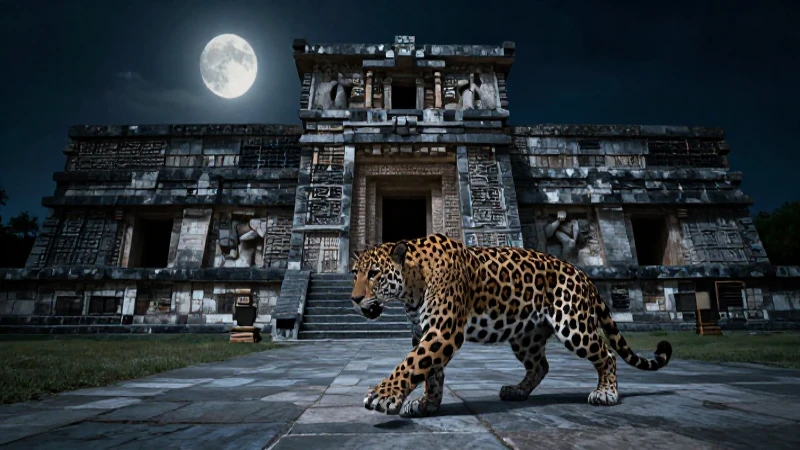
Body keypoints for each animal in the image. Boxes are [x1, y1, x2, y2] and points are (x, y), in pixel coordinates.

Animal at [349, 233, 672, 417]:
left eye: (374, 273)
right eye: (355, 273)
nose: (354, 298)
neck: (412, 283)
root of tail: (583, 274)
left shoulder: (443, 330)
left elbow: (412, 364)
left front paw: (383, 395)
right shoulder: (424, 333)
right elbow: (431, 371)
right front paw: (427, 404)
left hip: (573, 324)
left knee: (606, 354)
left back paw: (606, 393)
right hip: (525, 336)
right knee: (541, 365)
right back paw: (517, 391)